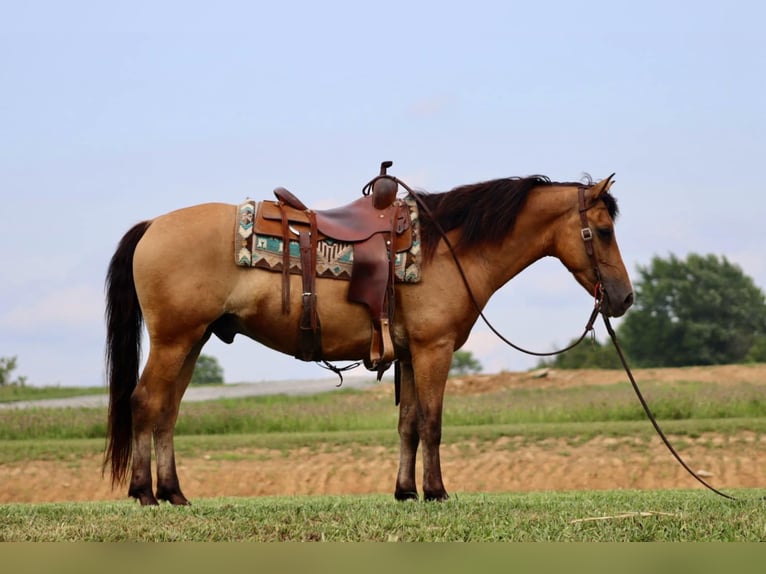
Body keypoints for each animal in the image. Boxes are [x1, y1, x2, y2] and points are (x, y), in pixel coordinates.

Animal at [103, 170, 634, 505]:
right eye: (604, 231)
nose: (624, 298)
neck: (449, 249)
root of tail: (153, 226)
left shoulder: (412, 355)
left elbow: (408, 424)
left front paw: (406, 491)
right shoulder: (434, 350)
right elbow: (432, 423)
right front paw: (437, 492)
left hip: (192, 342)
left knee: (168, 411)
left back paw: (174, 493)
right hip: (174, 340)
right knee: (146, 402)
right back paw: (145, 493)